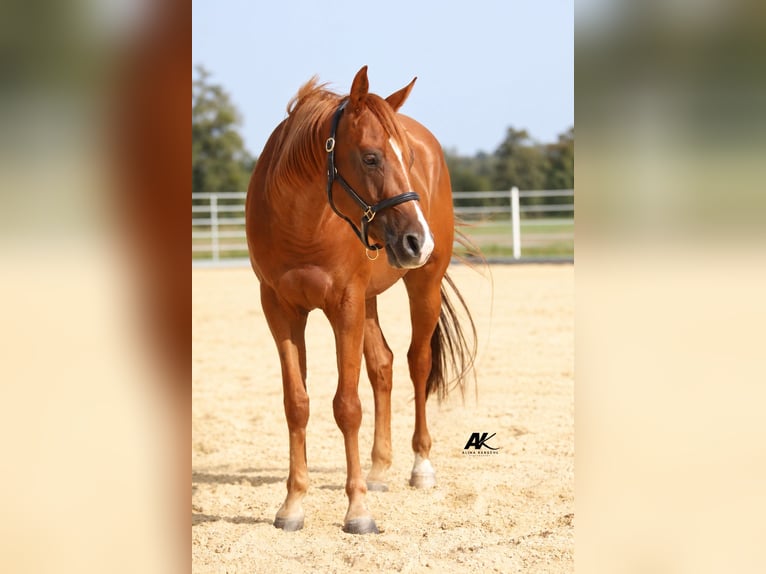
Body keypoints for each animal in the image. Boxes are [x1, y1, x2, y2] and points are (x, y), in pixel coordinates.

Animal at [246, 66, 476, 534]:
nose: (418, 240)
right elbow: (297, 404)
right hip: (369, 300)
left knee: (417, 362)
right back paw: (379, 470)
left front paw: (358, 511)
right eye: (371, 157)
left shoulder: (344, 306)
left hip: (422, 284)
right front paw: (292, 504)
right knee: (383, 365)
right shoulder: (280, 310)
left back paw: (420, 466)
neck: (302, 223)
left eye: (407, 160)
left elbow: (347, 406)